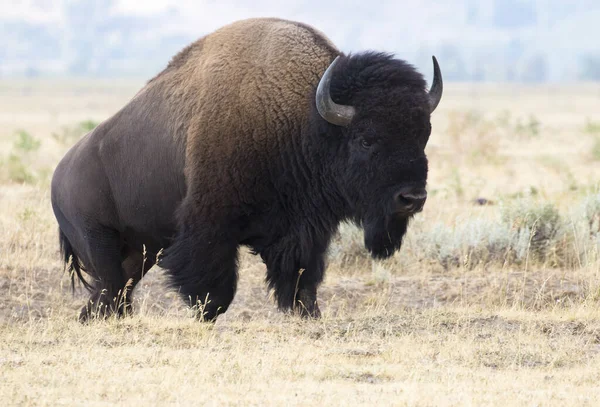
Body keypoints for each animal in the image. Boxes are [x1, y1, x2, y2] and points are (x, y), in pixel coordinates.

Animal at [50, 18, 440, 322]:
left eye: (423, 133)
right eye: (366, 139)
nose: (412, 198)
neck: (304, 120)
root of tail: (57, 177)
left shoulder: (304, 231)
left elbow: (302, 280)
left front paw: (309, 314)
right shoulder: (209, 228)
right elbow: (214, 289)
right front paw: (205, 317)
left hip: (141, 250)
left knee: (111, 294)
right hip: (100, 241)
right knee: (111, 288)